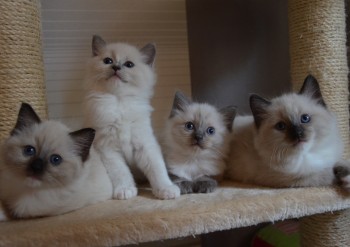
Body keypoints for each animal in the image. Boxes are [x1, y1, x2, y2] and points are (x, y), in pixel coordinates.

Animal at [83, 34, 179, 200]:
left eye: (129, 64)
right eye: (107, 61)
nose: (116, 67)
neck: (119, 102)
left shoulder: (145, 145)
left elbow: (157, 170)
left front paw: (166, 190)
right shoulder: (108, 149)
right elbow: (121, 173)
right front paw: (126, 190)